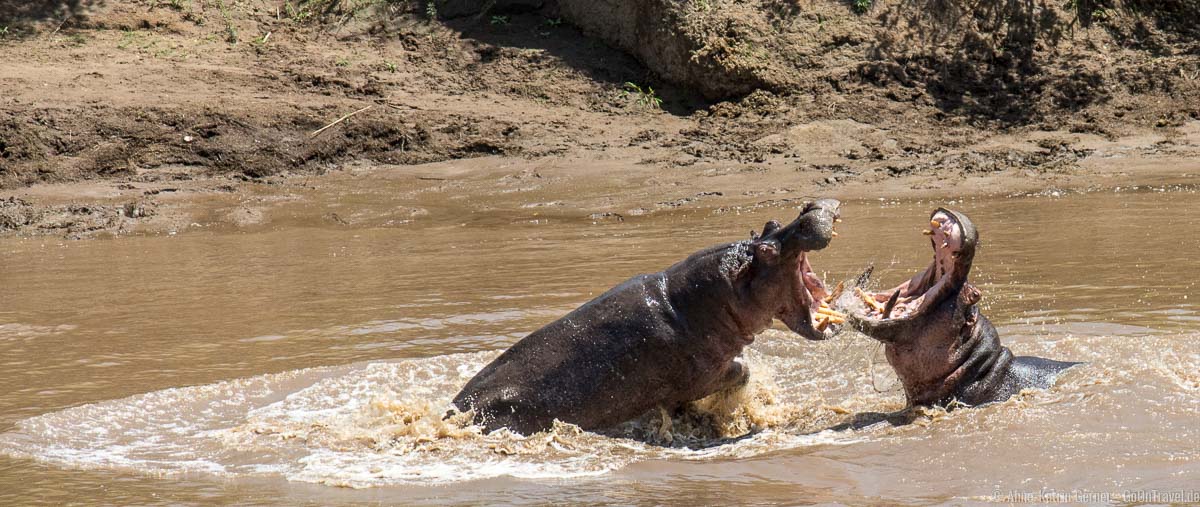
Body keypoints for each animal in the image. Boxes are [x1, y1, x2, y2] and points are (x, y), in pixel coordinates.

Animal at [451, 199, 844, 434]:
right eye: (765, 250)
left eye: (771, 222)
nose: (809, 209)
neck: (685, 303)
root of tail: (451, 413)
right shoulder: (701, 375)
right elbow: (739, 372)